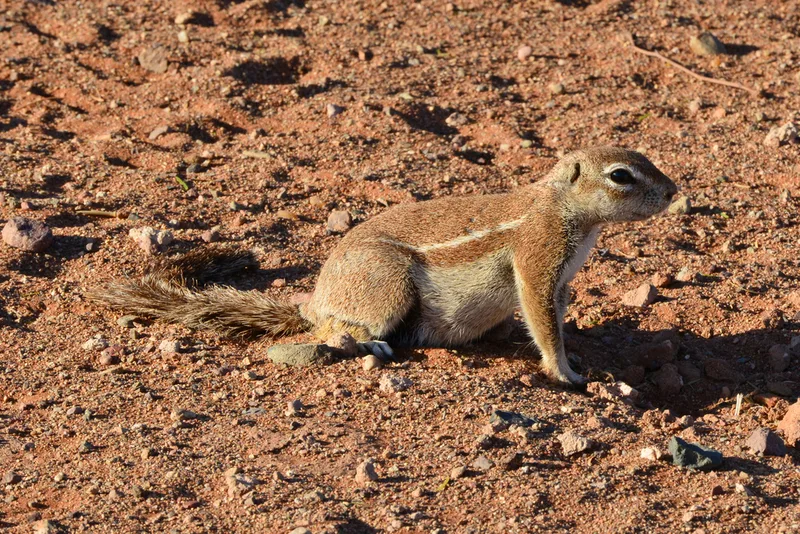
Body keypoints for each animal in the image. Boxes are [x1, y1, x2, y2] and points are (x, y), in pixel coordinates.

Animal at [92, 147, 677, 385]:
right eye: (622, 175)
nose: (674, 192)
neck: (561, 206)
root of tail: (314, 300)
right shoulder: (537, 260)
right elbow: (541, 320)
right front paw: (566, 373)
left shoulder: (560, 280)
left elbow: (550, 317)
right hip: (385, 286)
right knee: (330, 332)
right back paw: (363, 342)